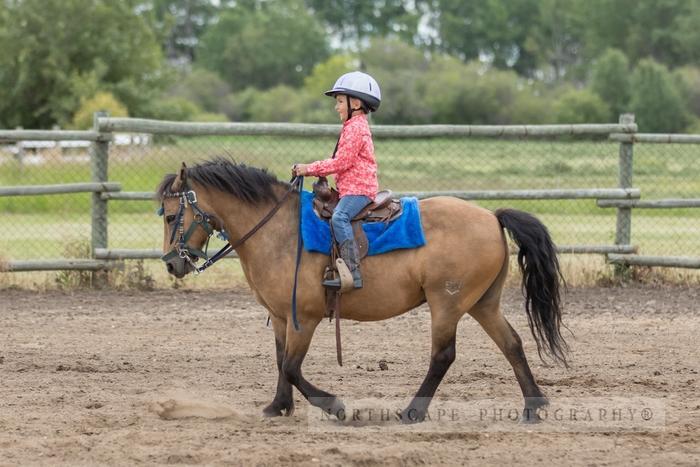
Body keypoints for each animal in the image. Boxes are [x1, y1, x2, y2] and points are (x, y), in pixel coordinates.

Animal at [157, 158, 568, 424]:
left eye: (169, 215)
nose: (172, 264)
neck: (280, 232)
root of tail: (491, 217)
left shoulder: (304, 318)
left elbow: (291, 366)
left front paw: (334, 405)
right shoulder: (281, 317)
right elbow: (280, 361)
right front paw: (277, 407)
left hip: (447, 302)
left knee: (443, 356)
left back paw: (413, 411)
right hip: (482, 302)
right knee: (512, 343)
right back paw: (533, 407)